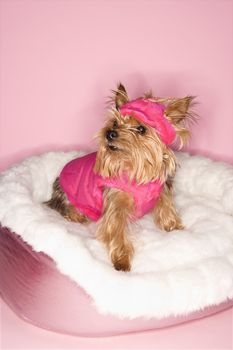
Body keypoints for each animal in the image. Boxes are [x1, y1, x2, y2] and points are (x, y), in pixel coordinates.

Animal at [45, 83, 195, 272]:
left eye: (141, 129)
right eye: (115, 122)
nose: (109, 132)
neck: (135, 168)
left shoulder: (162, 189)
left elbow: (166, 207)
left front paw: (173, 226)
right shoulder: (116, 203)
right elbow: (116, 229)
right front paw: (121, 260)